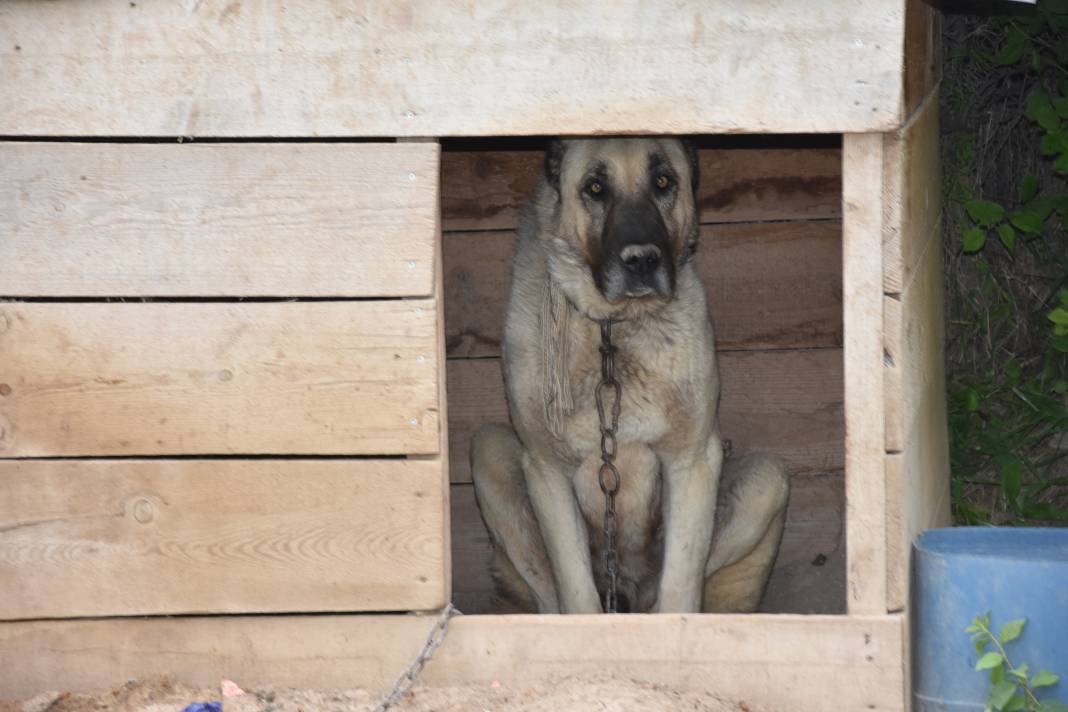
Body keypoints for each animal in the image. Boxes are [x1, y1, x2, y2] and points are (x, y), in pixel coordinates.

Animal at [472, 137, 790, 614]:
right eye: (595, 188)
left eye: (663, 182)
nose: (642, 260)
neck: (611, 329)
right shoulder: (546, 470)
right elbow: (575, 590)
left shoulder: (693, 460)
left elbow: (681, 584)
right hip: (488, 453)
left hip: (767, 480)